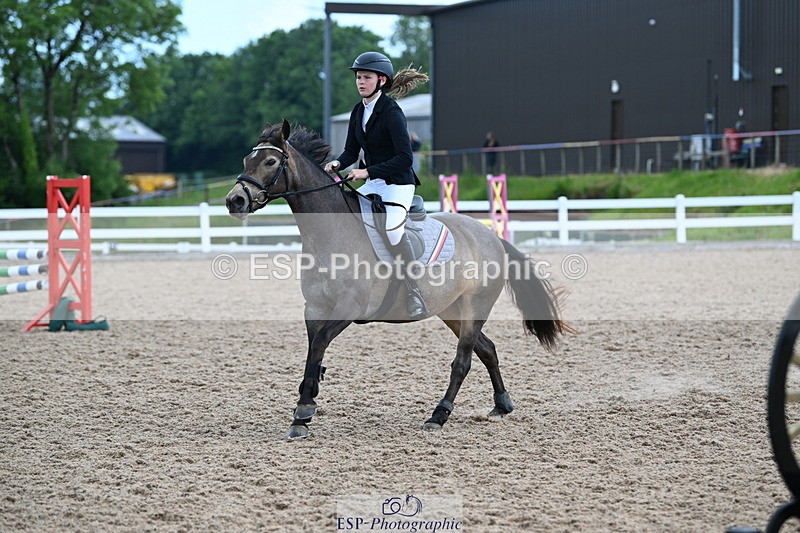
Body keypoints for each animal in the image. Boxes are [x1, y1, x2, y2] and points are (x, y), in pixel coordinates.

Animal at [226, 120, 571, 440]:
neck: (329, 233)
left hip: (476, 307)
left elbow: (321, 344)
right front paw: (303, 410)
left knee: (463, 361)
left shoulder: (350, 307)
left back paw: (438, 415)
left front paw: (304, 410)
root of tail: (490, 236)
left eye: (271, 161)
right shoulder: (314, 308)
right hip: (451, 310)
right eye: (245, 160)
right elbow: (314, 351)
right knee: (486, 349)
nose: (234, 201)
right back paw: (502, 403)